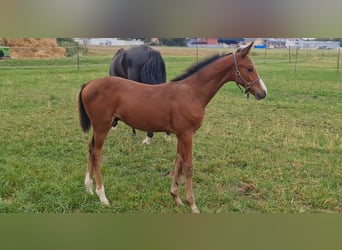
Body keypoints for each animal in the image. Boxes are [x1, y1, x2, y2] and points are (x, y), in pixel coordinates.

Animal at [78, 42, 268, 212]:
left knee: (90, 148)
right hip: (102, 125)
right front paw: (193, 204)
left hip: (99, 126)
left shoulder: (179, 134)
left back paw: (88, 188)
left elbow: (178, 161)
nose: (263, 92)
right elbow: (188, 166)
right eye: (249, 68)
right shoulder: (187, 133)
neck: (192, 93)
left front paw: (176, 197)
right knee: (97, 153)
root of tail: (88, 84)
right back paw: (102, 196)